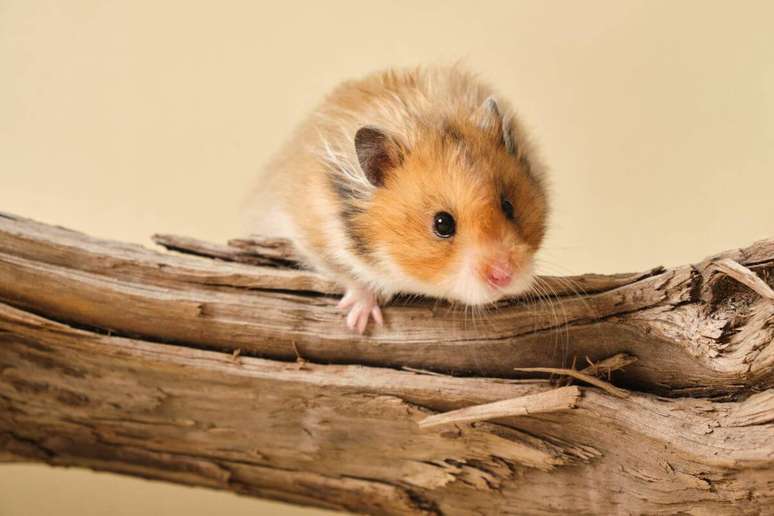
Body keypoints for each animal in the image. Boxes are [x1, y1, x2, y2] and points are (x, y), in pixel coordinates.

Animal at [245, 65, 548, 333]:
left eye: (508, 207)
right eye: (442, 224)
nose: (504, 276)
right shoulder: (314, 235)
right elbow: (350, 276)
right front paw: (360, 321)